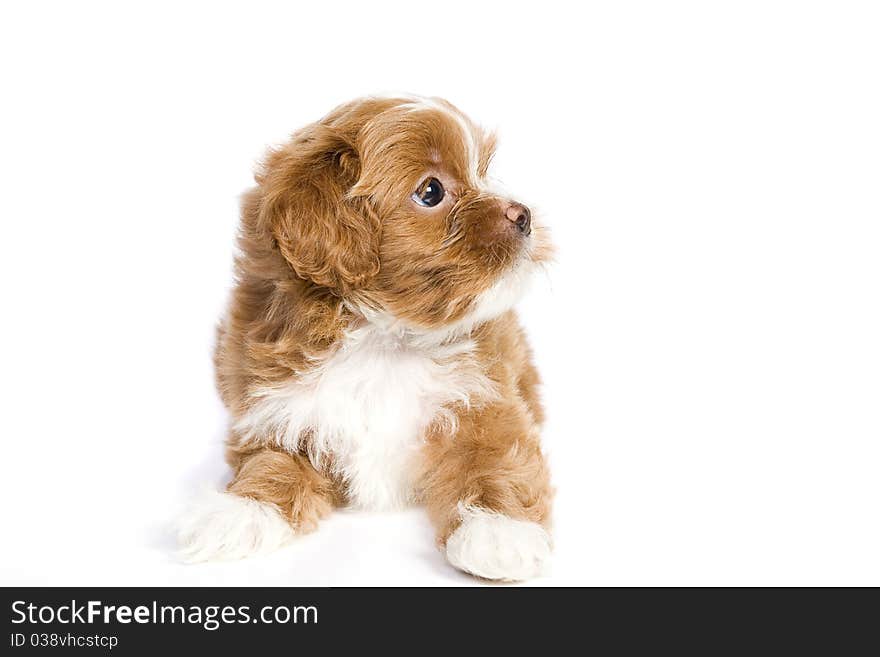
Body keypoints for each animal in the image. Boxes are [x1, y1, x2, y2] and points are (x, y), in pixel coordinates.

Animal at [175, 93, 552, 580]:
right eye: (431, 191)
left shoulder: (489, 404)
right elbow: (271, 464)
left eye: (483, 170)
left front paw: (500, 532)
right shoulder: (275, 412)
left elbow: (498, 461)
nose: (523, 214)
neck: (384, 337)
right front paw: (240, 513)